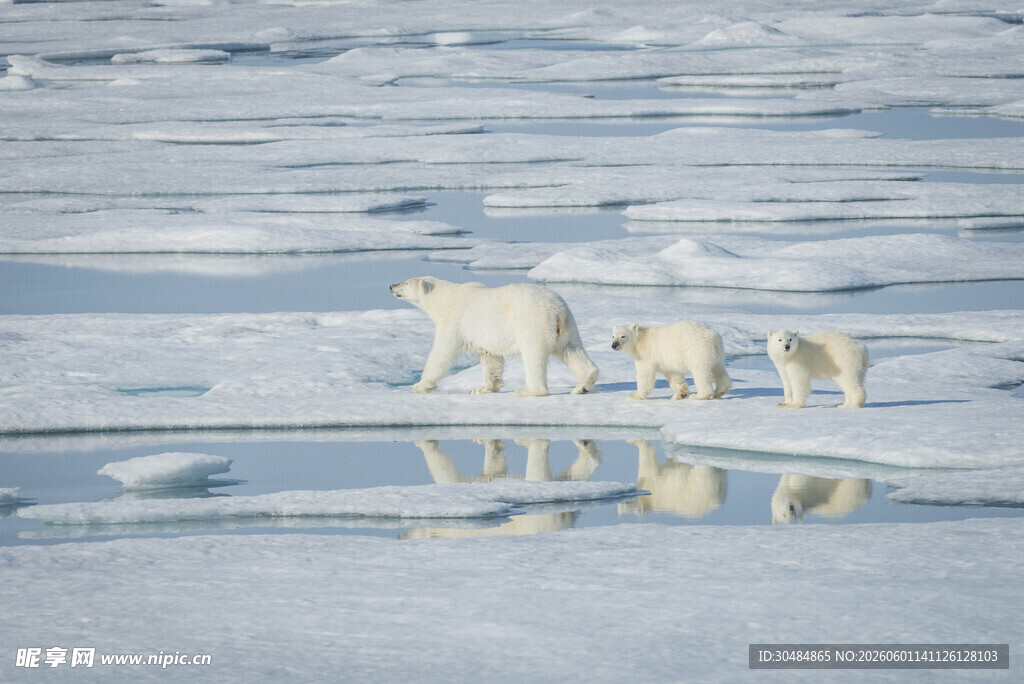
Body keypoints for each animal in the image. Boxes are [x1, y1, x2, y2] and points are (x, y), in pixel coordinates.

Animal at [390, 277, 599, 397]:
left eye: (406, 282)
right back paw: (583, 385)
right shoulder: (483, 338)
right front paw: (481, 389)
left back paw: (527, 390)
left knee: (533, 355)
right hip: (567, 326)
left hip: (532, 322)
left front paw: (420, 385)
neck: (444, 299)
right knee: (571, 349)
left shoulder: (454, 322)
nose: (391, 286)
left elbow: (441, 354)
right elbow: (490, 359)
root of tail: (557, 310)